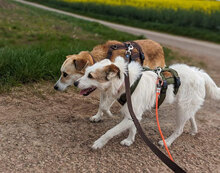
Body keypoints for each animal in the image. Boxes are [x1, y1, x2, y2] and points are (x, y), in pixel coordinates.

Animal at [74, 56, 220, 149]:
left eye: (90, 76)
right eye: (85, 72)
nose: (75, 83)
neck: (126, 82)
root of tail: (200, 74)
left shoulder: (131, 115)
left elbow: (110, 131)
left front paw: (99, 143)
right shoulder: (133, 114)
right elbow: (133, 128)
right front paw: (129, 141)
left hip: (182, 110)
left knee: (179, 129)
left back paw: (167, 143)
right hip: (185, 107)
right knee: (192, 116)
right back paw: (194, 130)